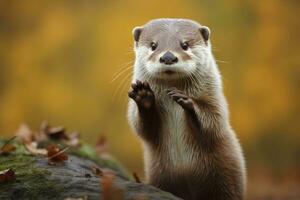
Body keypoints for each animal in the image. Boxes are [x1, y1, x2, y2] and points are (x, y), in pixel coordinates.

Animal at [126, 18, 246, 200]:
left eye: (185, 44)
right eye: (153, 45)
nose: (168, 56)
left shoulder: (215, 102)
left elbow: (213, 122)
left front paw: (187, 100)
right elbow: (142, 128)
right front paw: (143, 95)